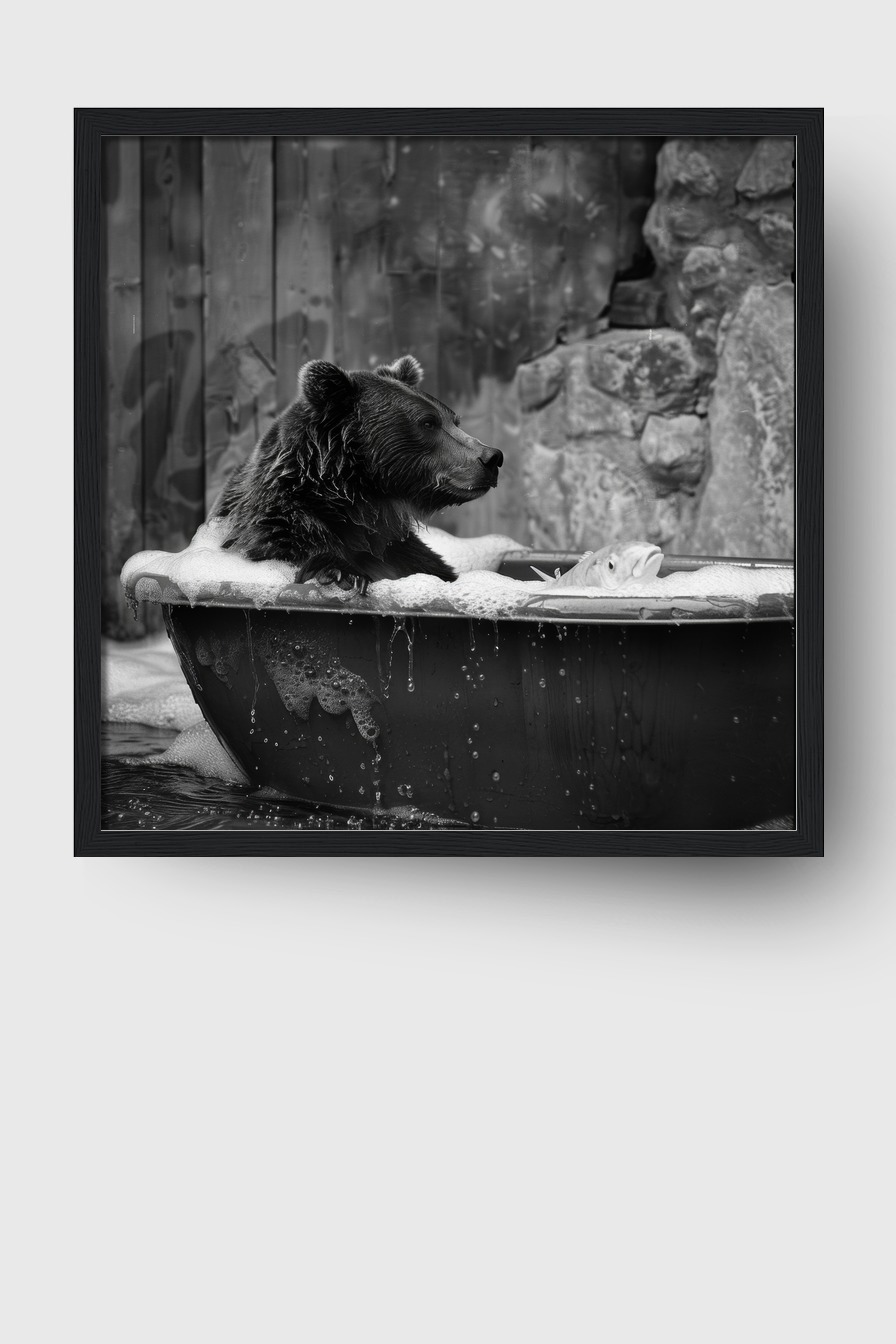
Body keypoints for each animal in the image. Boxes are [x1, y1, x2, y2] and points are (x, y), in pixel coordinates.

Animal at [210, 354, 503, 595]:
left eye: (454, 420)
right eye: (428, 422)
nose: (492, 458)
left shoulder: (402, 553)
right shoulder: (282, 533)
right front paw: (341, 574)